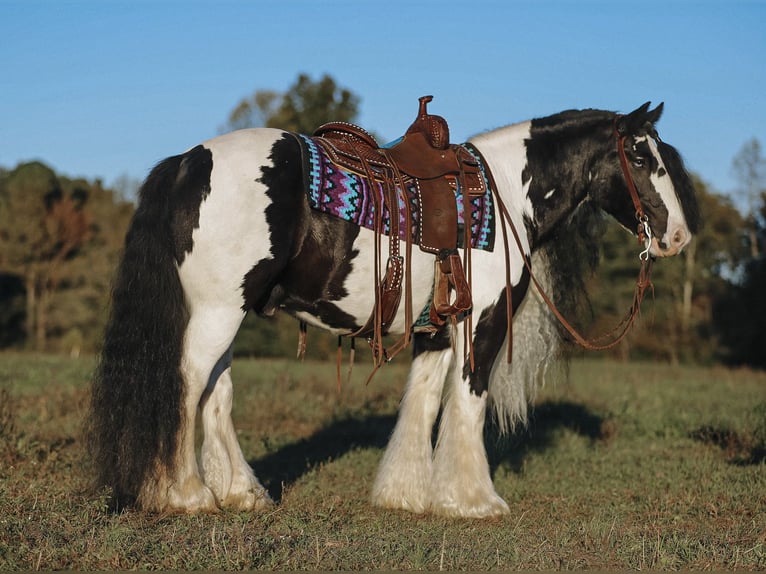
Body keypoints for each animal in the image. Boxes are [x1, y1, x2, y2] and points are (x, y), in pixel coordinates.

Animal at [85, 101, 704, 520]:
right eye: (642, 155)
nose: (678, 236)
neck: (506, 193)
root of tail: (190, 161)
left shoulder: (438, 331)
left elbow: (423, 402)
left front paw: (407, 494)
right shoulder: (482, 325)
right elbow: (468, 404)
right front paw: (473, 499)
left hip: (226, 312)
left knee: (217, 390)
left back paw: (241, 492)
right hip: (217, 311)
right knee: (188, 383)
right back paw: (185, 494)